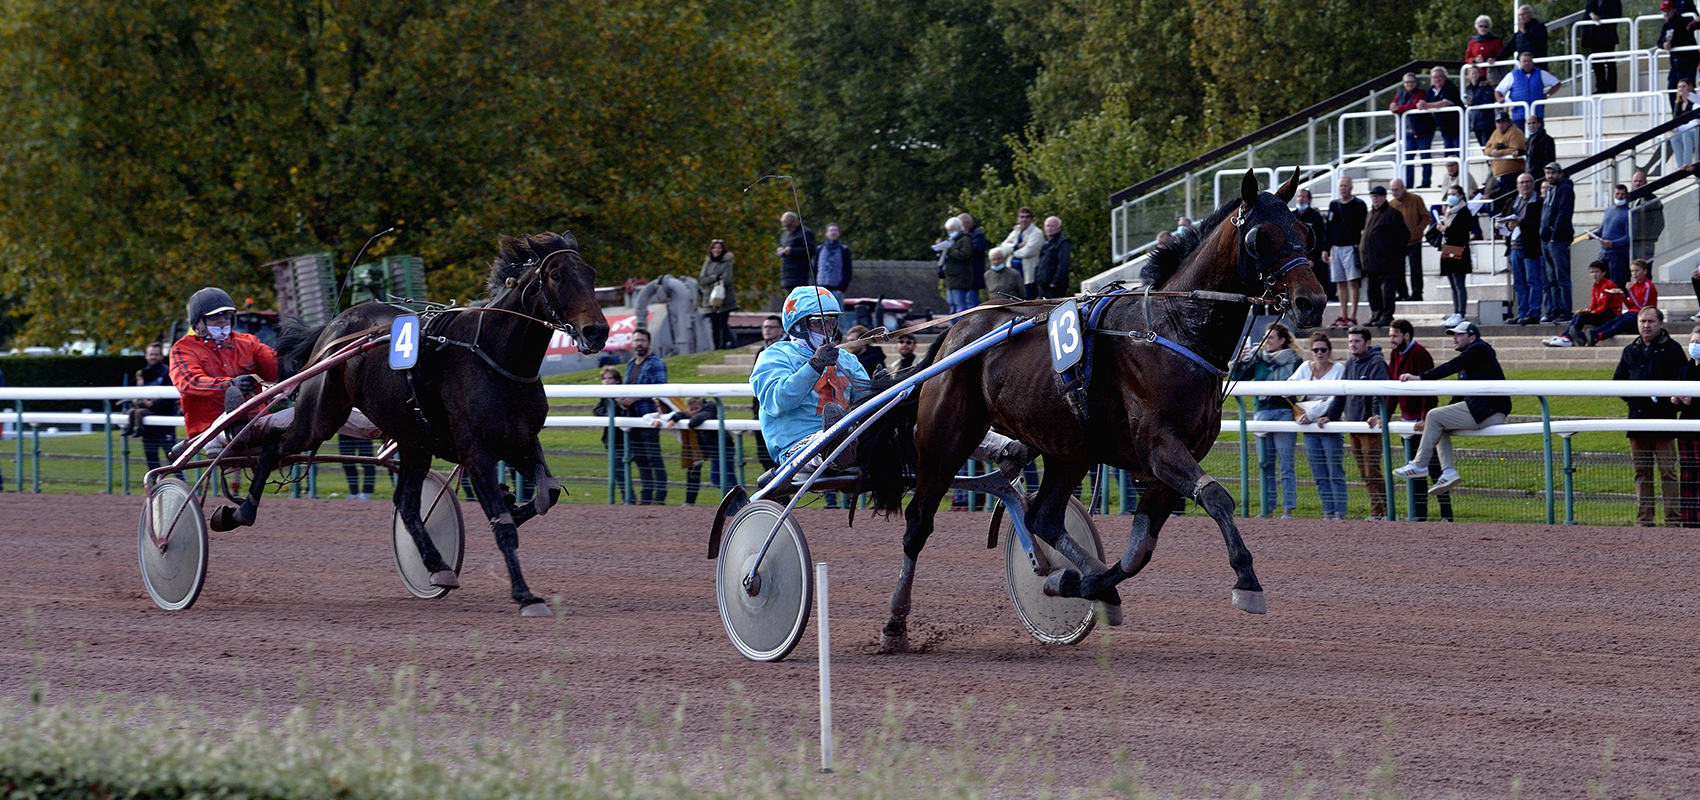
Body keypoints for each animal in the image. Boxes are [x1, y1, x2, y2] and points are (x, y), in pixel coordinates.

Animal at [863, 169, 1326, 652]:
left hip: (1068, 450)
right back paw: (894, 622)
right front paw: (1246, 580)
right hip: (945, 439)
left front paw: (1076, 583)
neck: (1175, 327)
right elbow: (1216, 497)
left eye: (1306, 231)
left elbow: (1140, 550)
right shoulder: (1159, 448)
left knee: (1043, 517)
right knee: (918, 523)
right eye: (1261, 237)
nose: (1312, 302)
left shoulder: (1173, 462)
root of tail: (956, 332)